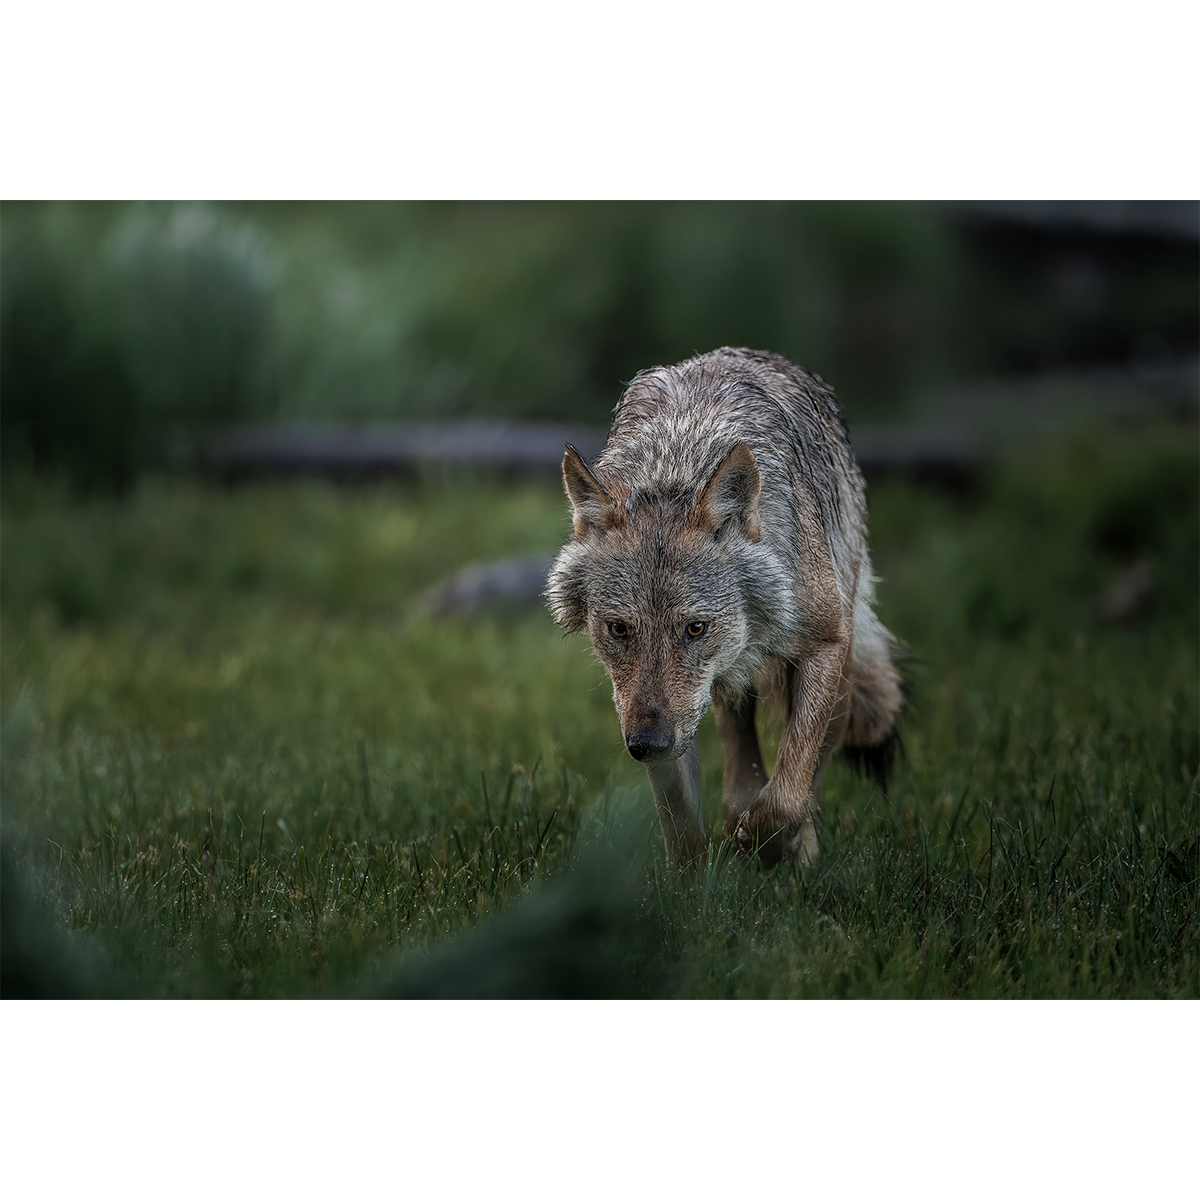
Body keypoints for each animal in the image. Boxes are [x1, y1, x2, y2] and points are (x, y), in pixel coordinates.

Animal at [546, 347, 905, 867]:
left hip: (841, 677)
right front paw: (696, 882)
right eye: (619, 629)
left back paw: (798, 850)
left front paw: (766, 845)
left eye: (695, 628)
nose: (645, 745)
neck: (677, 462)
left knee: (810, 775)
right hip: (718, 692)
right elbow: (680, 821)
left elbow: (787, 794)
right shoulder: (656, 718)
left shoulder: (823, 643)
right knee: (740, 763)